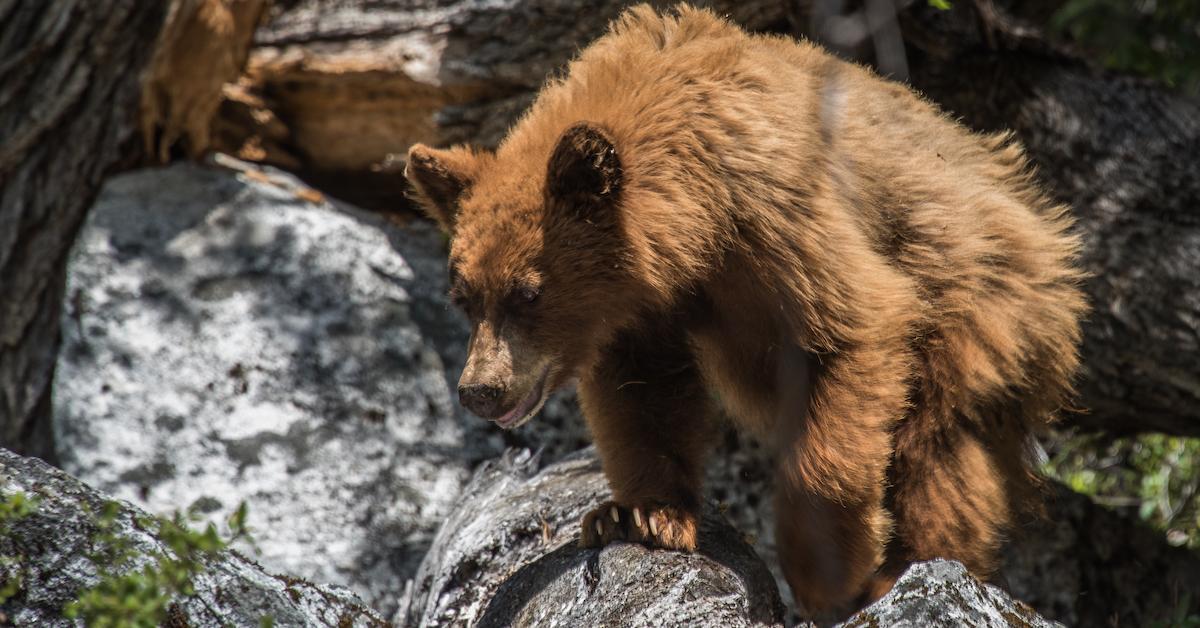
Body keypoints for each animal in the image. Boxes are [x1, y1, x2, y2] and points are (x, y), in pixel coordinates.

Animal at [403, 1, 1089, 619]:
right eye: (463, 296)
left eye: (528, 291)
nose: (480, 390)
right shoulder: (639, 307)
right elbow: (643, 394)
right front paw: (639, 514)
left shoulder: (777, 215)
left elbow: (853, 333)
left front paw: (826, 572)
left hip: (978, 299)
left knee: (939, 446)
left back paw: (910, 569)